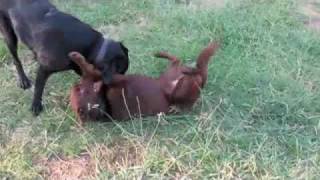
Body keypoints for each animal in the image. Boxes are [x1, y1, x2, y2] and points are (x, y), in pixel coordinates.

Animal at [69, 41, 220, 122]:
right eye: (78, 90)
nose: (75, 84)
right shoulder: (109, 77)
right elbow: (88, 69)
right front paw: (77, 58)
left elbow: (88, 70)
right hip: (179, 92)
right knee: (197, 68)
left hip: (171, 72)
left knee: (177, 60)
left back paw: (160, 54)